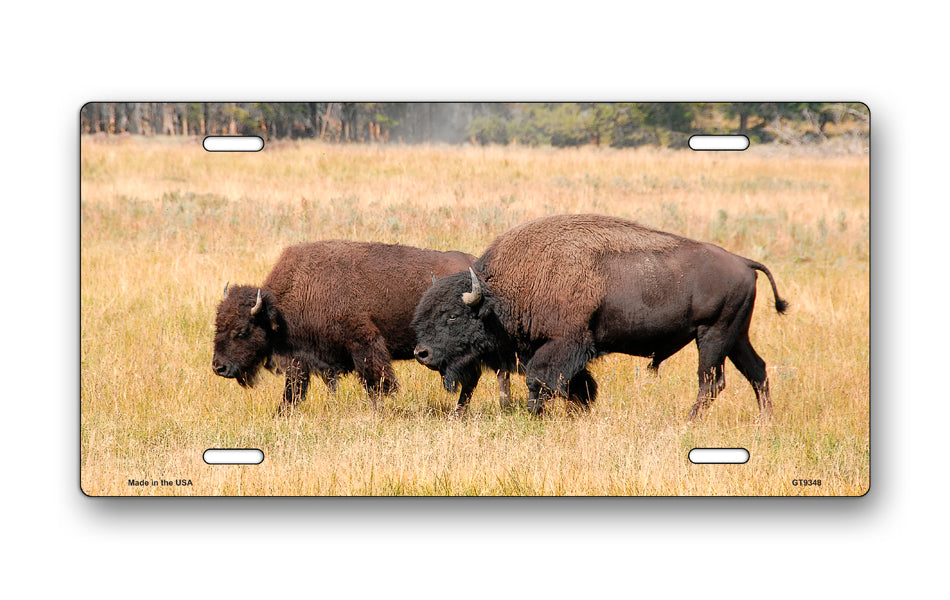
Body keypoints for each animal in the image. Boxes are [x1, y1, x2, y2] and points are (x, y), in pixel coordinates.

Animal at [212, 240, 511, 413]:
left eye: (242, 331)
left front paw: (378, 412)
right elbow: (294, 389)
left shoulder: (363, 343)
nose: (219, 367)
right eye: (217, 326)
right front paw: (282, 414)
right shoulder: (302, 356)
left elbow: (375, 383)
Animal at [412, 214, 787, 419]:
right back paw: (764, 422)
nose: (422, 353)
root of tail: (744, 262)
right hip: (736, 336)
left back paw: (689, 421)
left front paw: (536, 415)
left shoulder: (564, 344)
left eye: (452, 316)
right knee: (757, 372)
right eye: (424, 312)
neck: (504, 291)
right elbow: (579, 386)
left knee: (711, 381)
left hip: (712, 335)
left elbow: (541, 381)